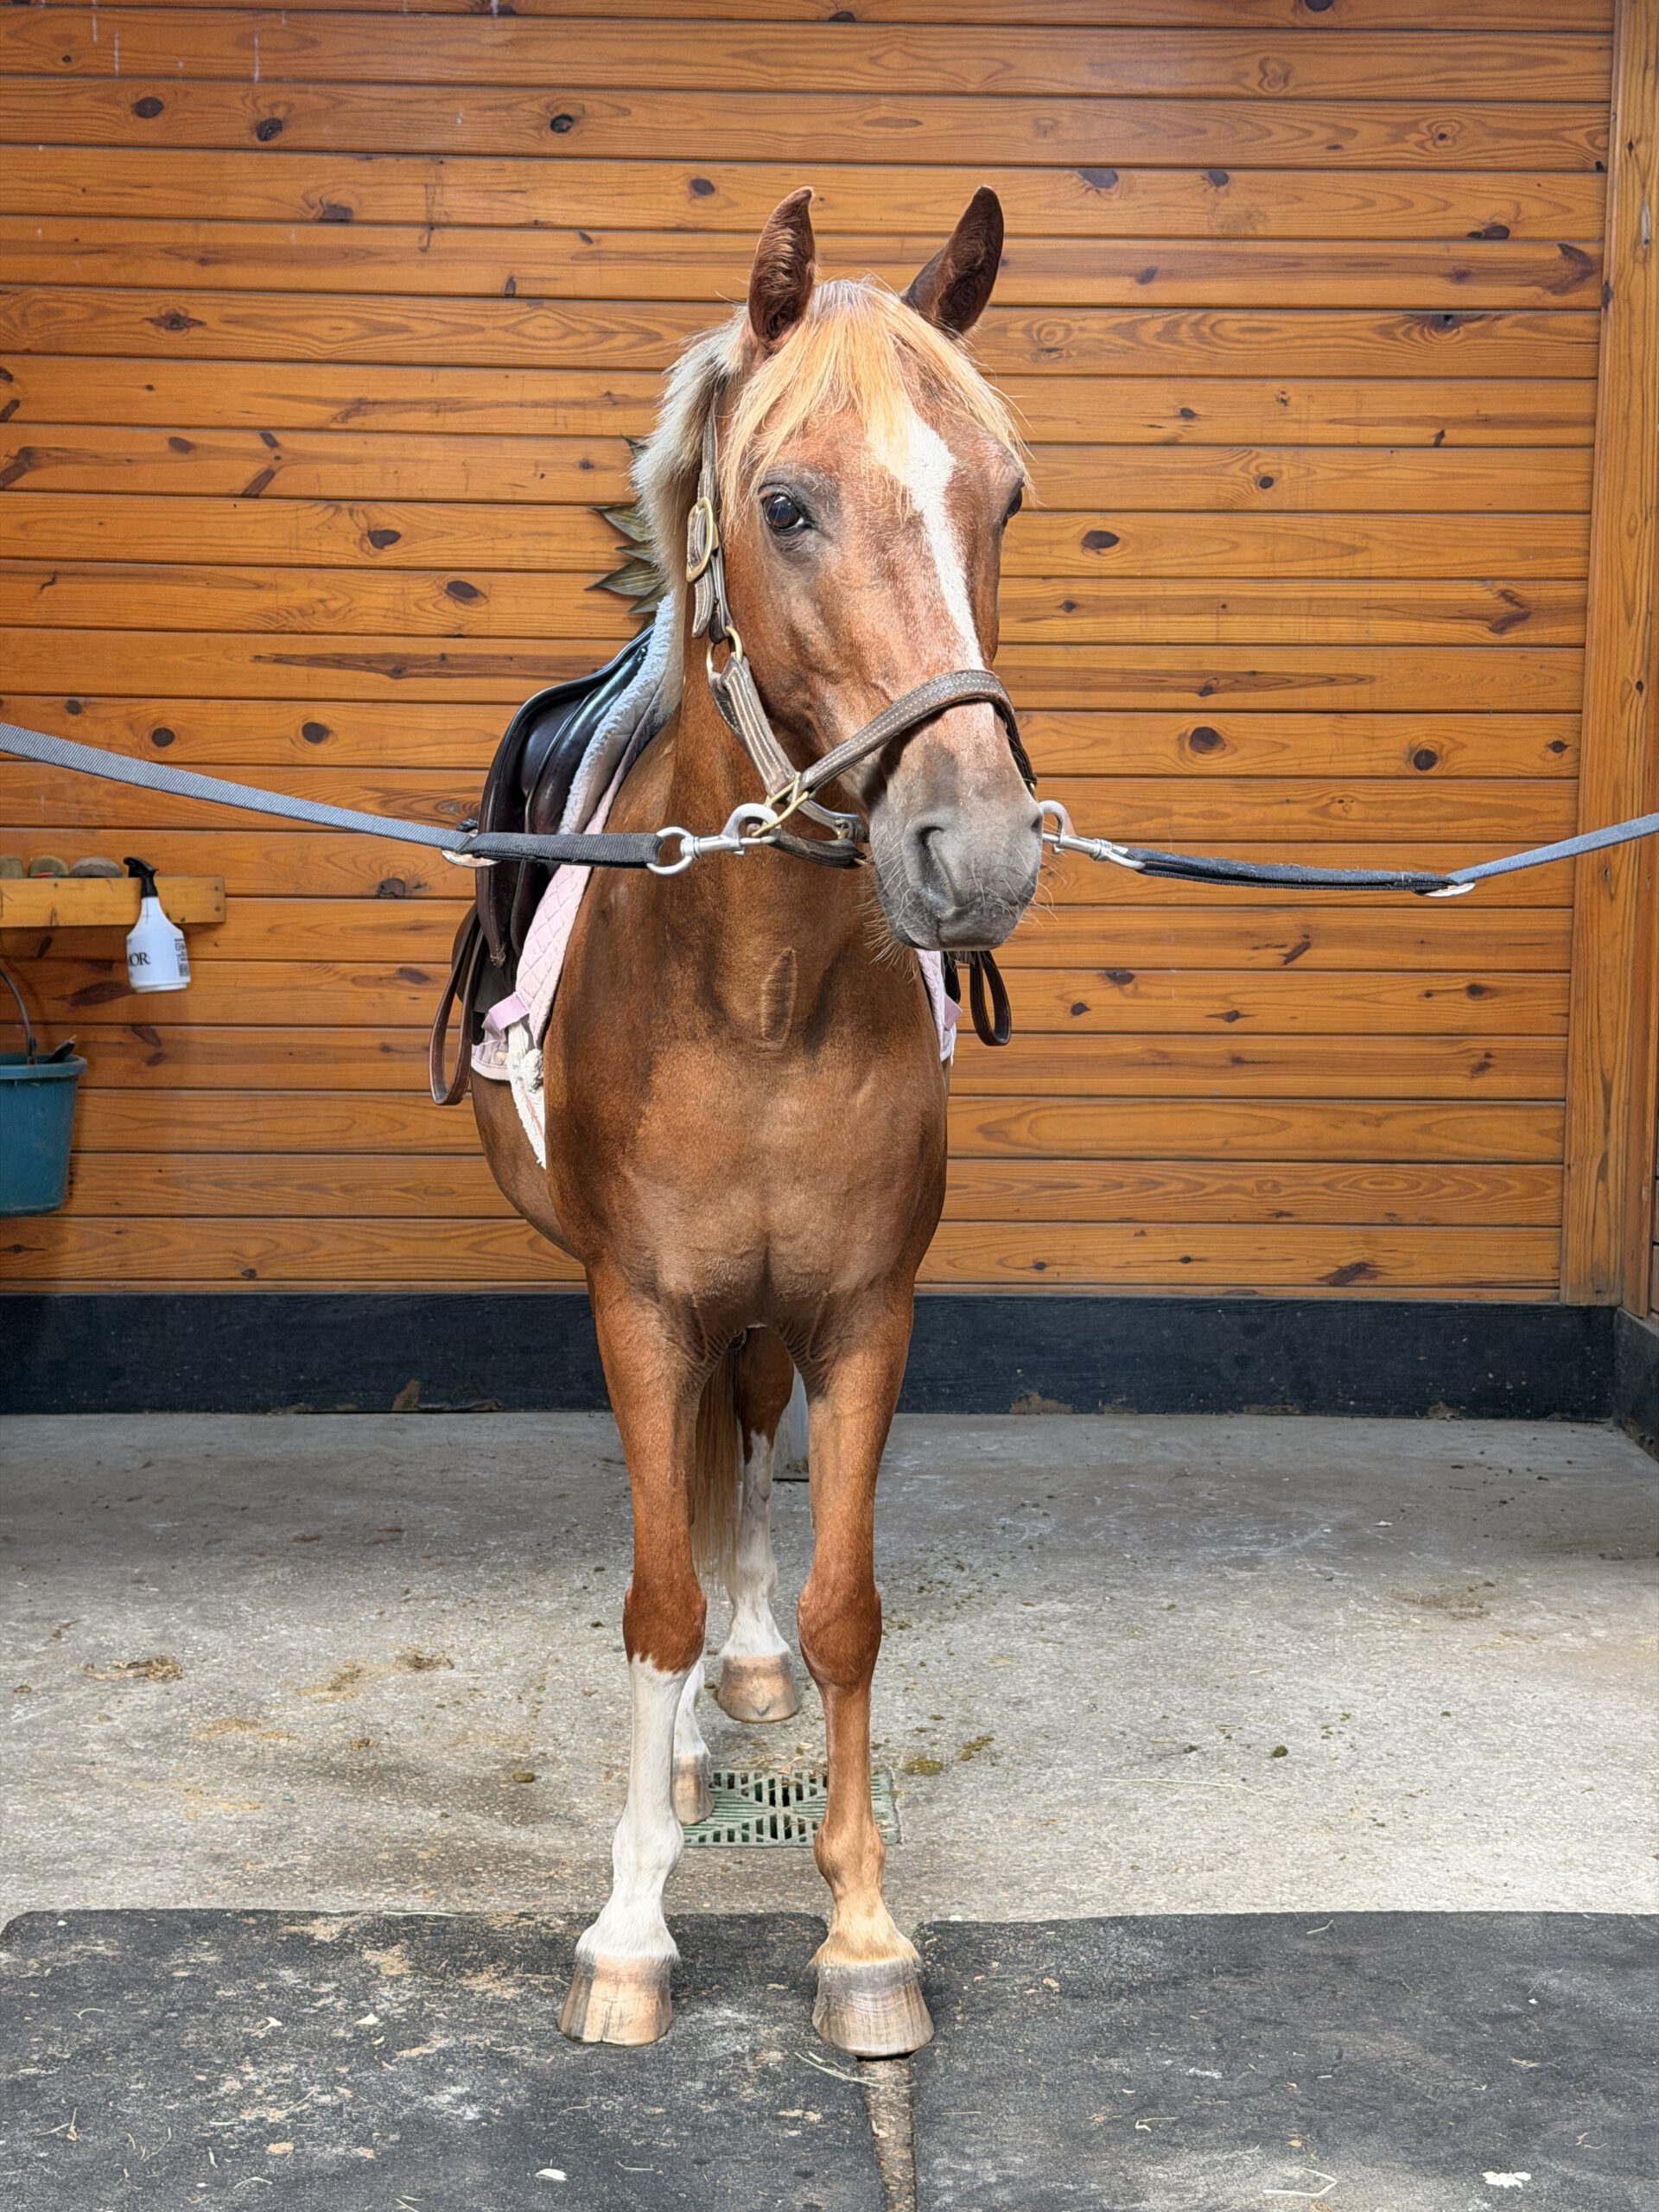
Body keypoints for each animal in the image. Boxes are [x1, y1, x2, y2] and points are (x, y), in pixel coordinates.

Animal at [471, 186, 1042, 2056]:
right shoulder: (641, 1304)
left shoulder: (862, 1307)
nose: (978, 850)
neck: (760, 989)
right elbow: (650, 1592)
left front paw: (862, 1928)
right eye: (786, 503)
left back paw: (749, 1670)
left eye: (1003, 494)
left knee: (750, 1461)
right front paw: (630, 1923)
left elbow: (846, 1606)